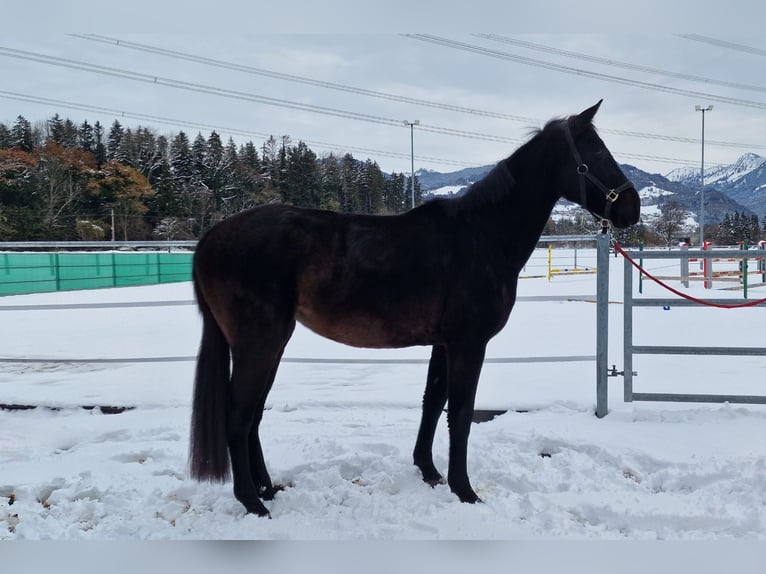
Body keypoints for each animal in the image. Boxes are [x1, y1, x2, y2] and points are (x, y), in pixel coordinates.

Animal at [190, 101, 640, 520]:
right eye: (596, 151)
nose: (632, 208)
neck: (481, 236)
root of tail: (211, 237)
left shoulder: (443, 343)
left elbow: (432, 402)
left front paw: (430, 472)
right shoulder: (468, 344)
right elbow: (460, 413)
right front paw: (465, 490)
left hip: (269, 344)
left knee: (253, 415)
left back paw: (268, 489)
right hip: (260, 343)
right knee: (239, 416)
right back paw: (253, 502)